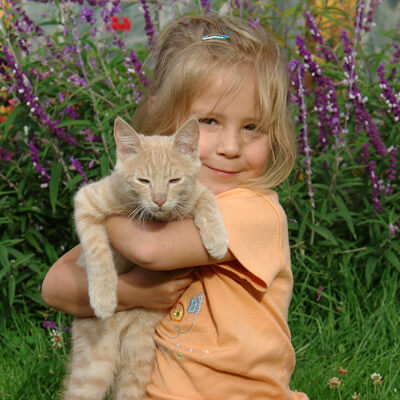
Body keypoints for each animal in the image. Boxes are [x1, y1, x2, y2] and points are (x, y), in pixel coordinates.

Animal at [63, 117, 230, 398]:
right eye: (143, 180)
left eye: (174, 180)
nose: (159, 201)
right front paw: (103, 297)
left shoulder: (193, 193)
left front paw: (217, 240)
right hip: (94, 364)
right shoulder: (87, 201)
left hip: (140, 351)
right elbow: (97, 251)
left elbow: (207, 199)